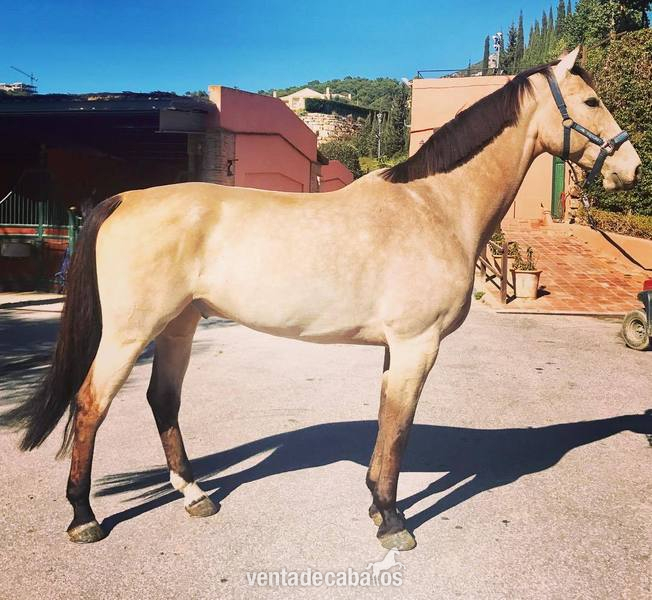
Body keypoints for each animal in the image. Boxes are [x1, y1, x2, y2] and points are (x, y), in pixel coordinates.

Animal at [2, 48, 641, 550]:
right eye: (590, 102)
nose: (631, 169)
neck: (435, 206)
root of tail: (124, 199)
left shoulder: (397, 348)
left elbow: (387, 425)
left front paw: (377, 506)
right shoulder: (417, 345)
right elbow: (399, 430)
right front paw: (393, 521)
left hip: (180, 325)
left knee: (163, 400)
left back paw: (194, 495)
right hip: (130, 332)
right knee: (90, 405)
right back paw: (84, 517)